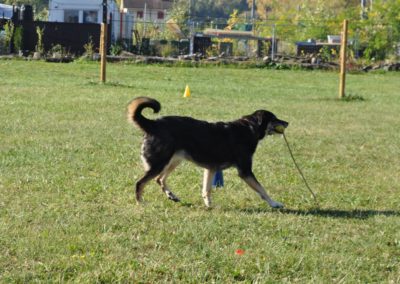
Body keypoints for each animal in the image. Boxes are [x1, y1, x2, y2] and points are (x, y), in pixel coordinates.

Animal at [127, 97, 288, 209]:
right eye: (274, 118)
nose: (287, 123)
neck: (250, 127)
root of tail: (153, 124)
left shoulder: (210, 169)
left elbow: (206, 189)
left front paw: (209, 205)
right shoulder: (245, 171)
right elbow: (262, 189)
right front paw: (274, 203)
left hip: (173, 161)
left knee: (159, 179)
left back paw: (172, 196)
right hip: (160, 163)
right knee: (140, 183)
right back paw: (141, 203)